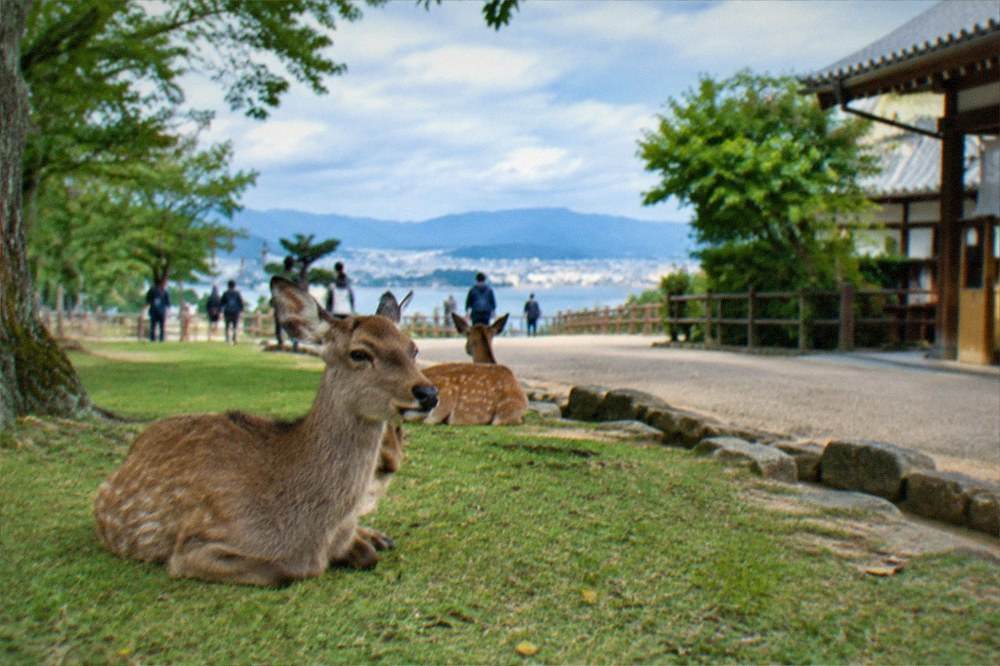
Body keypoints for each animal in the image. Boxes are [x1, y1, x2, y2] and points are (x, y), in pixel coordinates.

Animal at [93, 277, 437, 586]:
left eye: (413, 349)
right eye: (359, 353)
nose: (428, 392)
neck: (316, 530)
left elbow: (365, 554)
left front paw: (367, 542)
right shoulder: (194, 547)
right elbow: (287, 572)